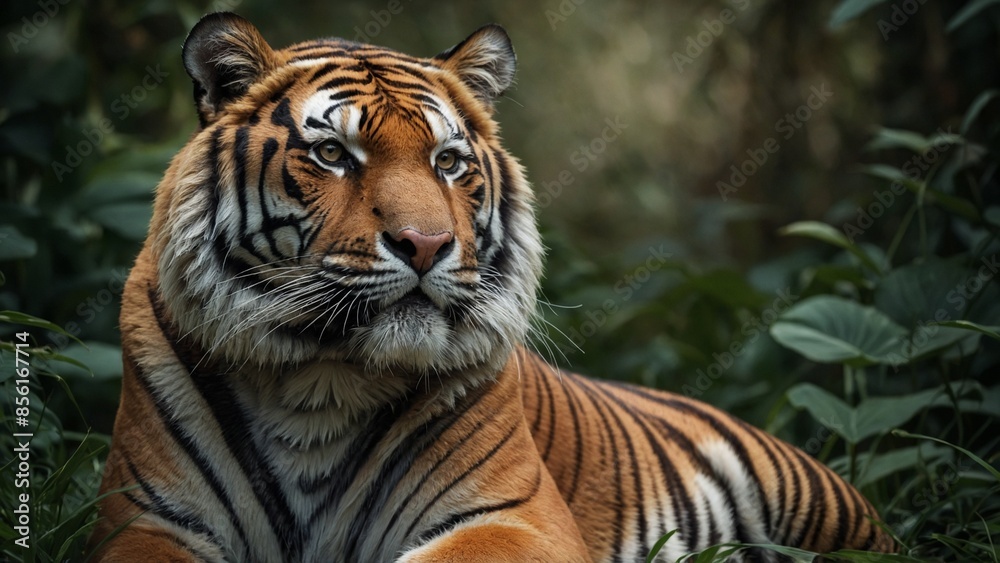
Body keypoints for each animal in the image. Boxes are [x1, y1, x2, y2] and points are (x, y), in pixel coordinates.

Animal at [89, 12, 895, 563]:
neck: (320, 384)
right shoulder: (147, 520)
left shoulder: (514, 516)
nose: (425, 244)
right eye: (333, 154)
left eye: (447, 162)